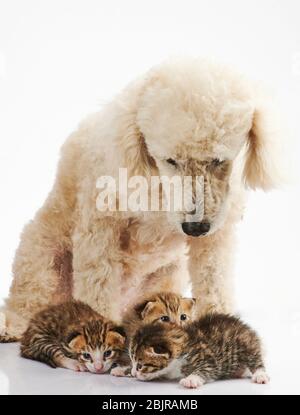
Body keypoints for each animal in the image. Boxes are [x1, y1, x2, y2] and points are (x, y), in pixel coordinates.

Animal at [130, 316, 268, 390]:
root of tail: (244, 326)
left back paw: (260, 375)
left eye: (140, 366)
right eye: (132, 362)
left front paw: (191, 379)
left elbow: (206, 369)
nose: (133, 374)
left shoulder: (209, 358)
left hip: (246, 344)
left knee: (256, 360)